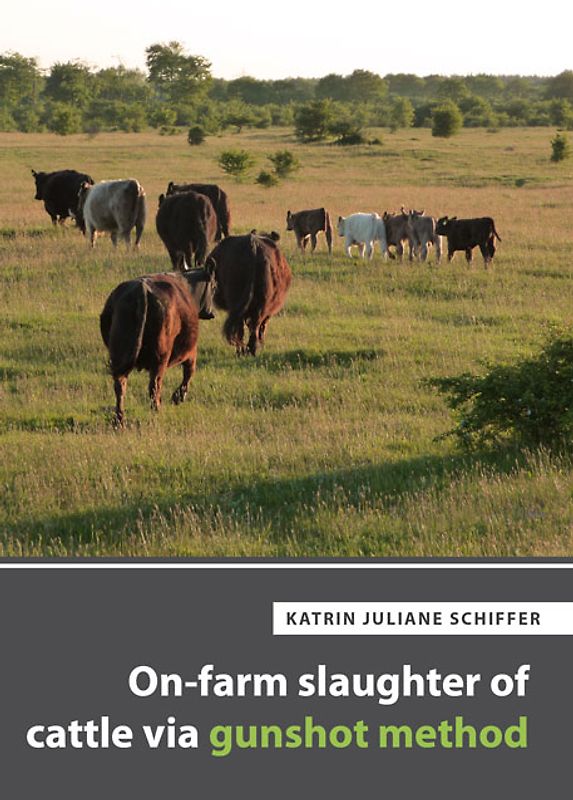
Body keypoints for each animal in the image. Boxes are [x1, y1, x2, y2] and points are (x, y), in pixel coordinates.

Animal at [100, 267, 216, 427]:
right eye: (214, 287)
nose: (212, 313)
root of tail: (141, 289)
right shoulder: (191, 351)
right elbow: (189, 373)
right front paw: (178, 397)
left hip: (118, 355)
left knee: (120, 385)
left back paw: (119, 419)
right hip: (160, 358)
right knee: (155, 385)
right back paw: (157, 410)